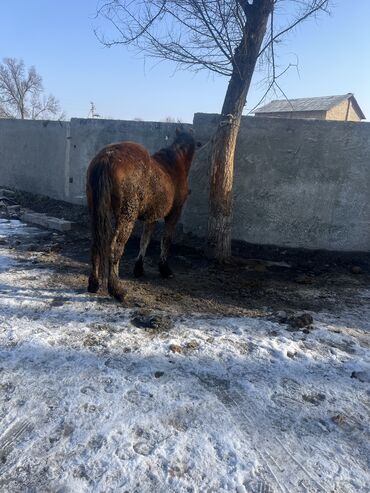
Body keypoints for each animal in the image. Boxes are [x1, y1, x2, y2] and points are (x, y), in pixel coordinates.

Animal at [86, 128, 198, 300]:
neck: (174, 165)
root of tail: (108, 157)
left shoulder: (152, 217)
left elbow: (145, 240)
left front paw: (139, 268)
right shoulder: (174, 214)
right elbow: (166, 240)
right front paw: (165, 269)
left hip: (97, 213)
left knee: (96, 244)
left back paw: (93, 284)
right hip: (127, 217)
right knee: (115, 249)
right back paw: (117, 289)